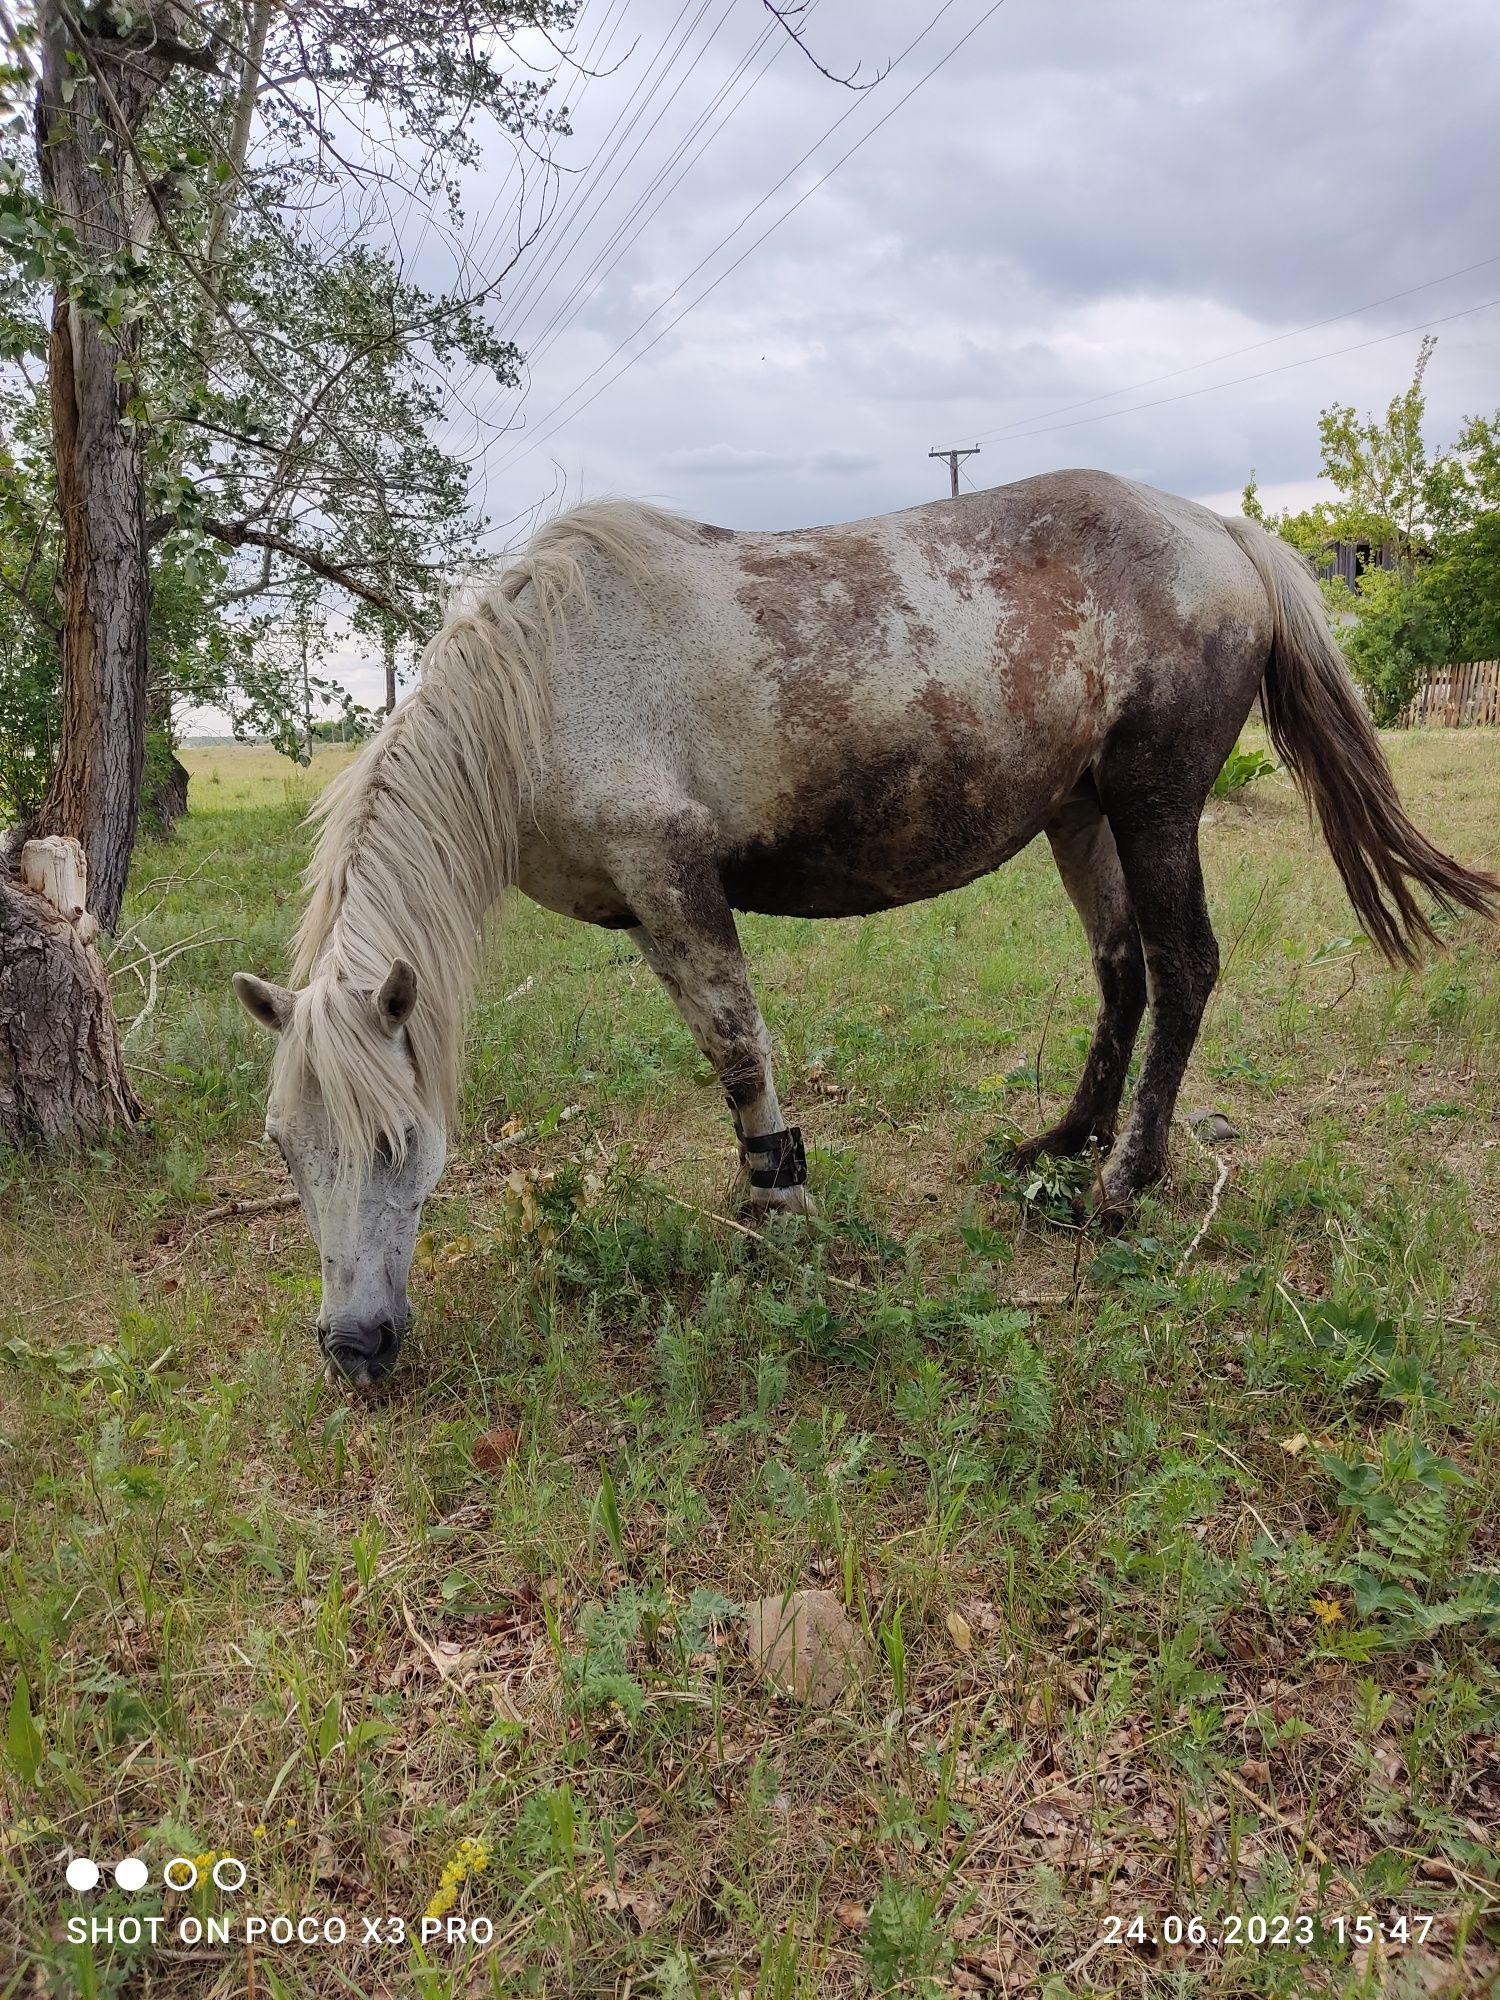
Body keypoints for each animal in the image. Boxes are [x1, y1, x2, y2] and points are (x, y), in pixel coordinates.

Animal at [232, 480, 1496, 1392]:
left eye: (401, 1140)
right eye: (286, 1147)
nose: (353, 1348)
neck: (543, 687)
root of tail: (1222, 528)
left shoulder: (674, 877)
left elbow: (740, 1045)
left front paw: (783, 1209)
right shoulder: (649, 909)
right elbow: (723, 1051)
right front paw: (762, 1187)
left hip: (1154, 806)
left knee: (1183, 970)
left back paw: (1123, 1182)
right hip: (1081, 814)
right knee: (1122, 969)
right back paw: (1061, 1142)